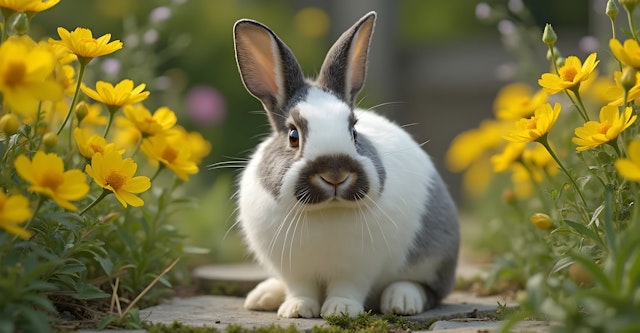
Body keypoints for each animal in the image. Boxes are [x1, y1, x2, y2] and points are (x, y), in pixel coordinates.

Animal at [232, 9, 458, 316]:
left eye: (353, 131)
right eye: (293, 136)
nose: (335, 173)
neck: (326, 210)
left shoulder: (357, 268)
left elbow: (347, 288)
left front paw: (340, 310)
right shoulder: (295, 271)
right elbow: (300, 289)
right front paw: (297, 310)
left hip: (435, 258)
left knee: (427, 289)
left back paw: (401, 301)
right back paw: (263, 295)